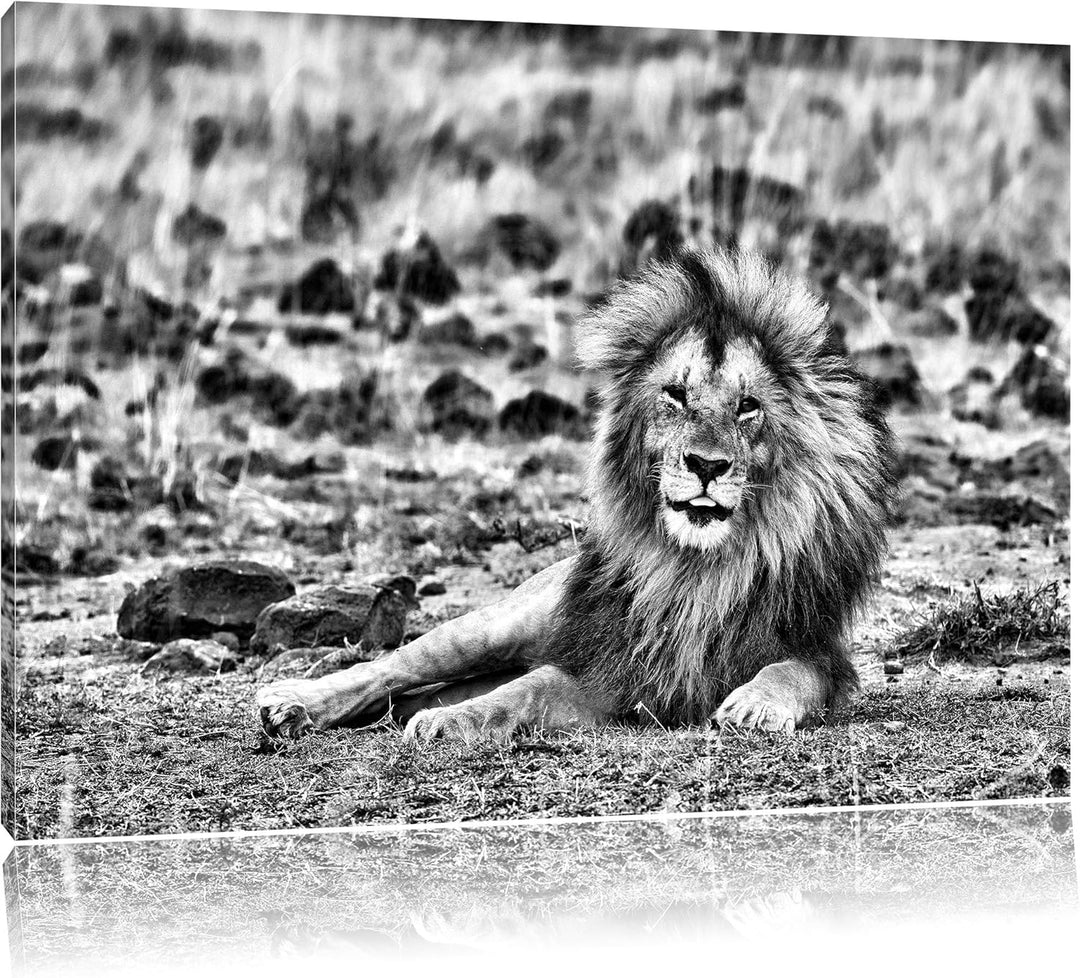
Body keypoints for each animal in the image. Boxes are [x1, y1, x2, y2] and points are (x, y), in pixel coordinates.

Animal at [257, 248, 897, 742]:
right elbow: (526, 688)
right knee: (394, 667)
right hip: (505, 621)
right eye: (675, 395)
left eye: (748, 406)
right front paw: (450, 724)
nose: (707, 465)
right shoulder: (613, 665)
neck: (694, 571)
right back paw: (290, 702)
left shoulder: (817, 649)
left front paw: (754, 705)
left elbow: (794, 672)